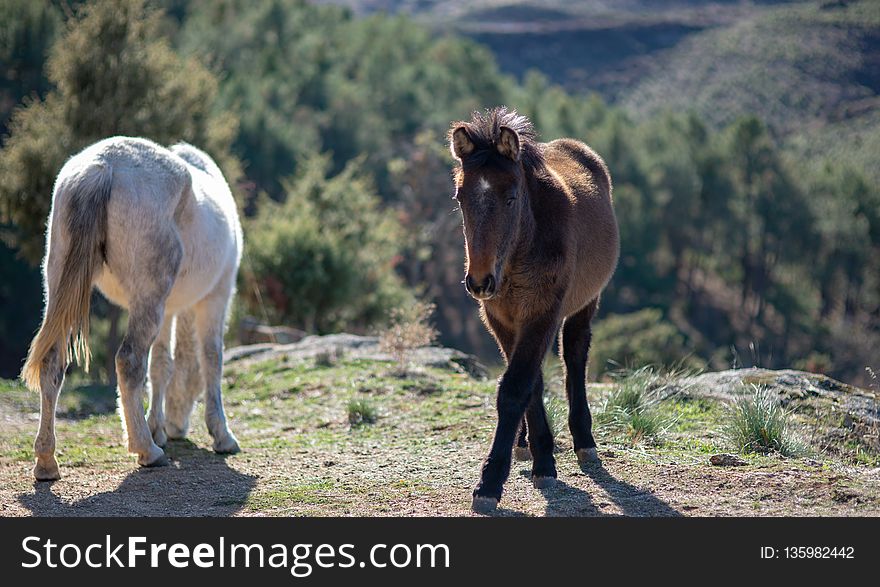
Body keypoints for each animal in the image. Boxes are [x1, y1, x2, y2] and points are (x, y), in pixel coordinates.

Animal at [21, 137, 241, 482]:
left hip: (62, 286)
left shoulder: (169, 309)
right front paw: (221, 435)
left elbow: (162, 364)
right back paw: (147, 451)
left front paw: (158, 427)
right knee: (129, 360)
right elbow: (211, 359)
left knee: (53, 363)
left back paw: (46, 462)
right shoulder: (215, 298)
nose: (179, 427)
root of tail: (101, 167)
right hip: (150, 298)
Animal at [450, 108, 616, 512]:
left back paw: (584, 441)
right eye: (460, 197)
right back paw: (525, 443)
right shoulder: (501, 319)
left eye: (511, 197)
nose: (479, 282)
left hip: (584, 305)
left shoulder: (542, 314)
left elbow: (515, 389)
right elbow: (527, 383)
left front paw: (491, 483)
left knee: (575, 356)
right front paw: (540, 455)